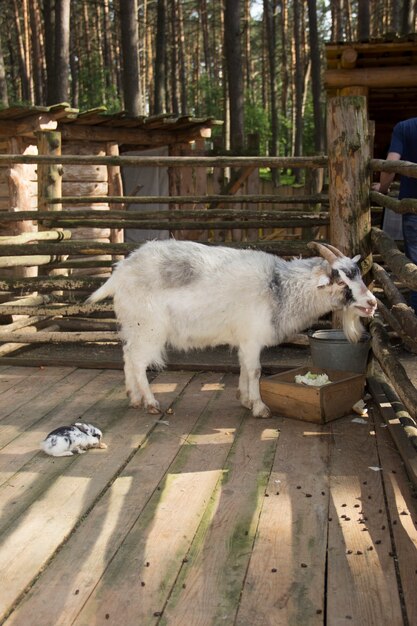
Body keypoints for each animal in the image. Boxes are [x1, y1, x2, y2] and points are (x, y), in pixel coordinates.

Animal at [86, 238, 376, 414]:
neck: (279, 287)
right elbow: (256, 371)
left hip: (132, 326)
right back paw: (150, 402)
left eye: (359, 276)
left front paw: (245, 400)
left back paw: (133, 398)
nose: (372, 303)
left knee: (126, 356)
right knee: (137, 361)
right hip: (148, 328)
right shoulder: (252, 338)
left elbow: (244, 368)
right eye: (341, 281)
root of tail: (120, 272)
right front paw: (259, 407)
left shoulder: (244, 340)